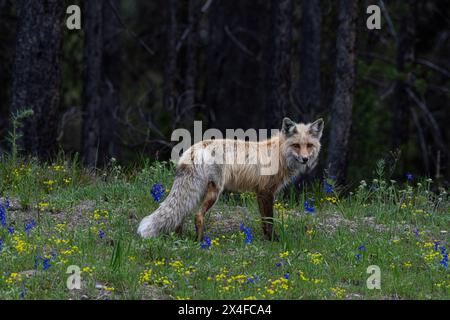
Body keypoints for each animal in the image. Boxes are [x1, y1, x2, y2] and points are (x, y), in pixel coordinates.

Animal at [137, 117, 324, 240]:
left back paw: (180, 239)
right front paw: (273, 241)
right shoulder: (266, 192)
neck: (278, 154)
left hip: (198, 191)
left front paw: (266, 239)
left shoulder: (260, 193)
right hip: (214, 191)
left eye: (309, 146)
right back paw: (200, 242)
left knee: (180, 215)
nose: (305, 159)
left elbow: (264, 221)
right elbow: (269, 220)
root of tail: (195, 148)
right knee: (197, 215)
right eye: (296, 145)